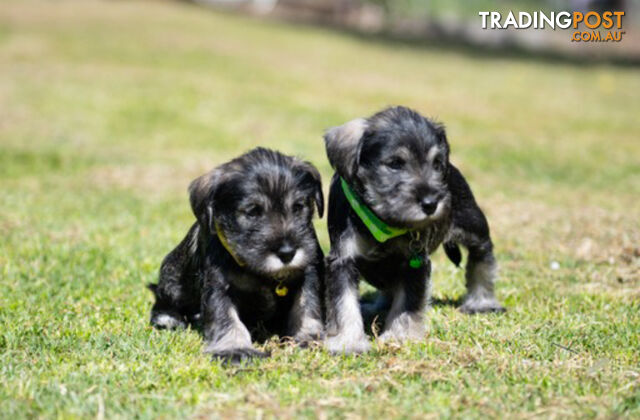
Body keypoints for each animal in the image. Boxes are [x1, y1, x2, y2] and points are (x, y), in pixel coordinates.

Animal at [149, 148, 324, 364]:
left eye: (298, 206)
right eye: (252, 211)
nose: (287, 253)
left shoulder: (308, 274)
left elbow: (307, 307)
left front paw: (310, 338)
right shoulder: (219, 287)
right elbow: (226, 317)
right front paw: (235, 349)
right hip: (172, 278)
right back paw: (169, 318)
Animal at [324, 106, 504, 354]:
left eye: (436, 163)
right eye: (395, 163)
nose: (431, 203)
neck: (383, 220)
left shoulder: (414, 263)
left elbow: (407, 304)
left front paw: (398, 337)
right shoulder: (342, 259)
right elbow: (344, 304)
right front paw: (348, 341)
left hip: (474, 226)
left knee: (482, 257)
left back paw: (482, 302)